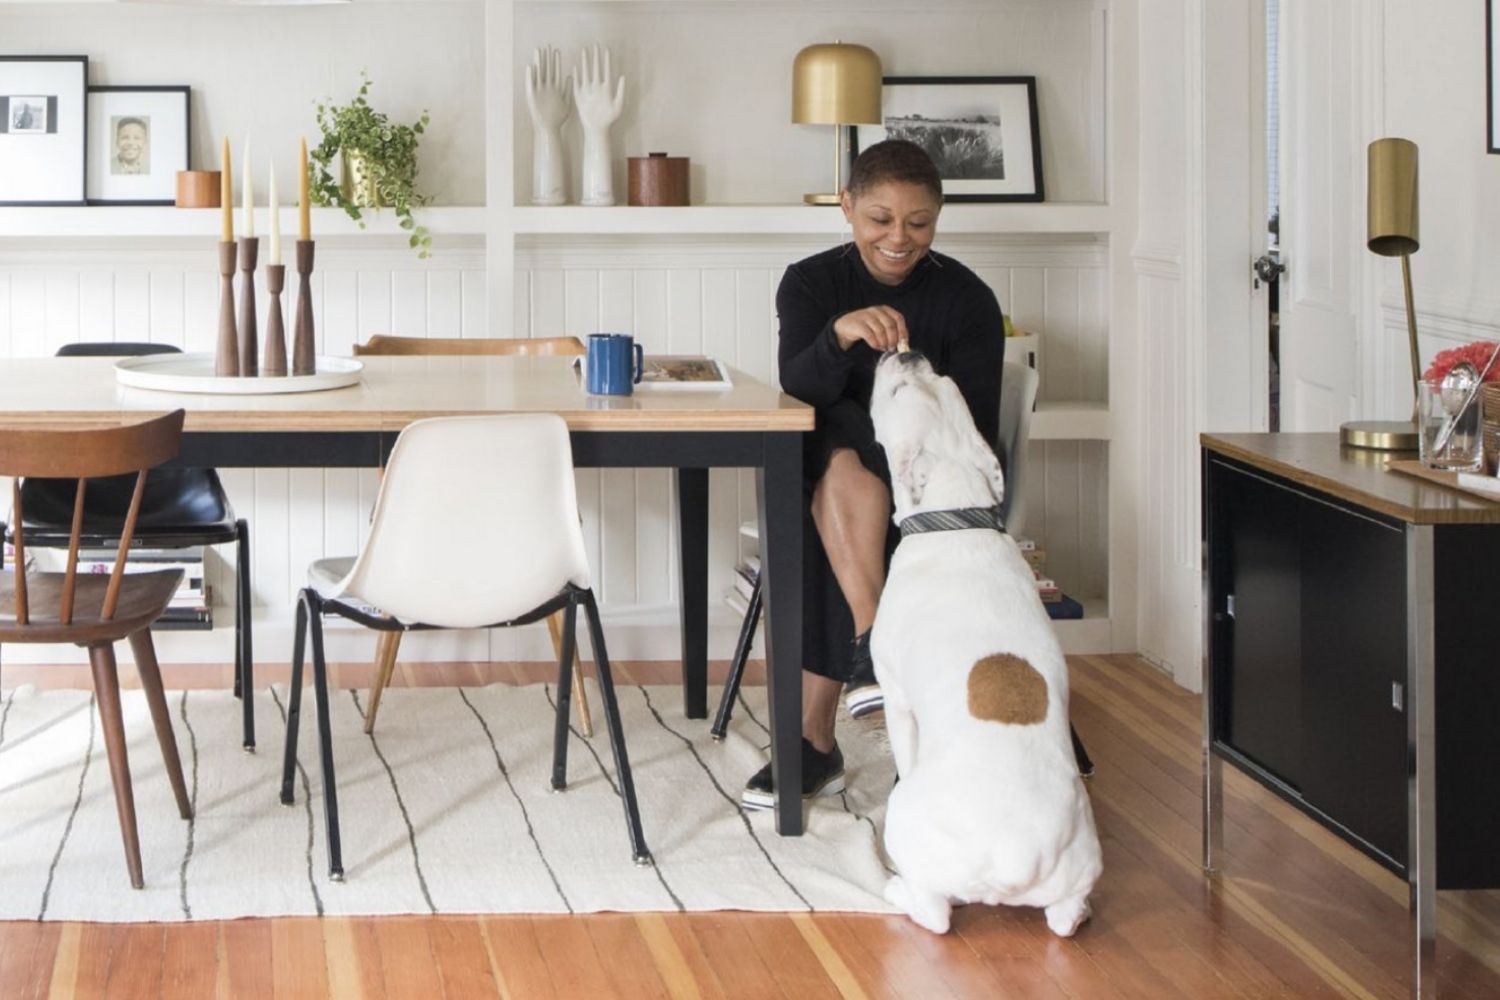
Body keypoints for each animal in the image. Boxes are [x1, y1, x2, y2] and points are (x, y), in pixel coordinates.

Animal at [870, 352, 1104, 941]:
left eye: (899, 391)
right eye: (940, 378)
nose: (907, 353)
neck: (955, 517)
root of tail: (1018, 852)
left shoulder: (896, 698)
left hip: (909, 820)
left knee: (934, 914)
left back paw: (894, 889)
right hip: (1080, 860)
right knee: (1065, 916)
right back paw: (1083, 911)